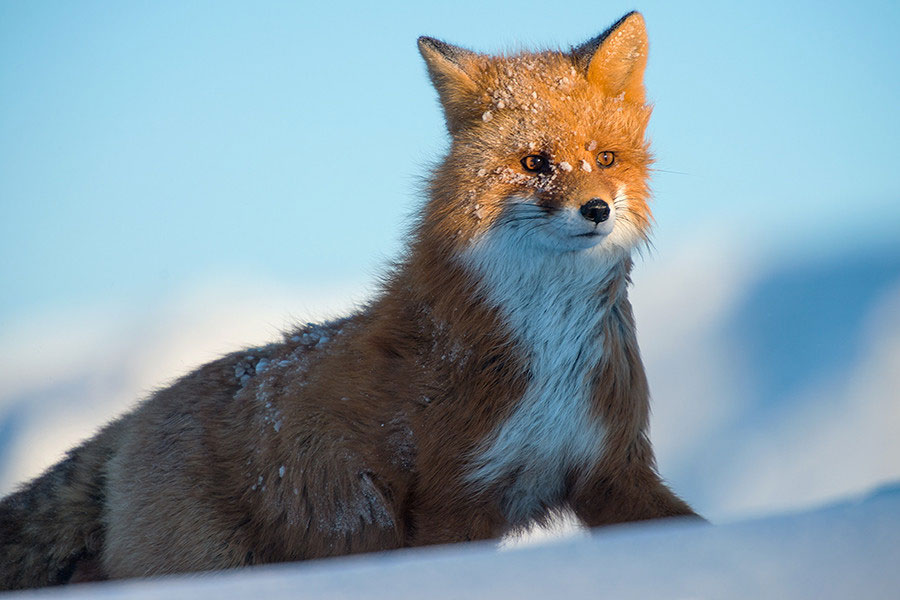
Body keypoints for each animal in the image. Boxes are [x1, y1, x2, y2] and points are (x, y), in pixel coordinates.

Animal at [0, 11, 700, 590]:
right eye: (536, 163)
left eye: (605, 158)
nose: (597, 210)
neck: (548, 353)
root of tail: (135, 417)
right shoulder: (455, 495)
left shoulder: (612, 468)